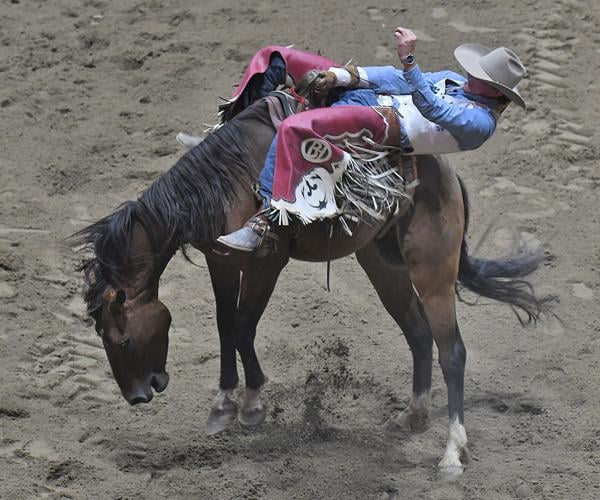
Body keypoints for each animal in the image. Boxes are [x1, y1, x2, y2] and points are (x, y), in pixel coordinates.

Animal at [76, 98, 548, 476]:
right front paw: (223, 403)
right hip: (383, 264)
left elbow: (244, 325)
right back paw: (412, 416)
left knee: (452, 352)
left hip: (433, 272)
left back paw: (452, 453)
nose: (137, 396)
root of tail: (445, 173)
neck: (228, 181)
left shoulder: (267, 261)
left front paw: (252, 404)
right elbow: (226, 324)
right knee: (417, 332)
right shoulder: (221, 261)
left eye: (121, 340)